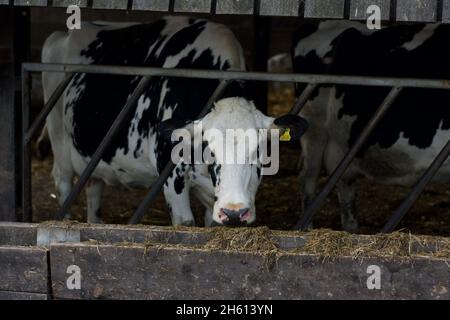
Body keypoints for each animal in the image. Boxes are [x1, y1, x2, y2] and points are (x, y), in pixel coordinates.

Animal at [43, 16, 310, 226]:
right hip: (59, 142)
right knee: (62, 182)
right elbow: (185, 223)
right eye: (211, 150)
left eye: (259, 151)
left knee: (93, 187)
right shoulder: (171, 175)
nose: (234, 213)